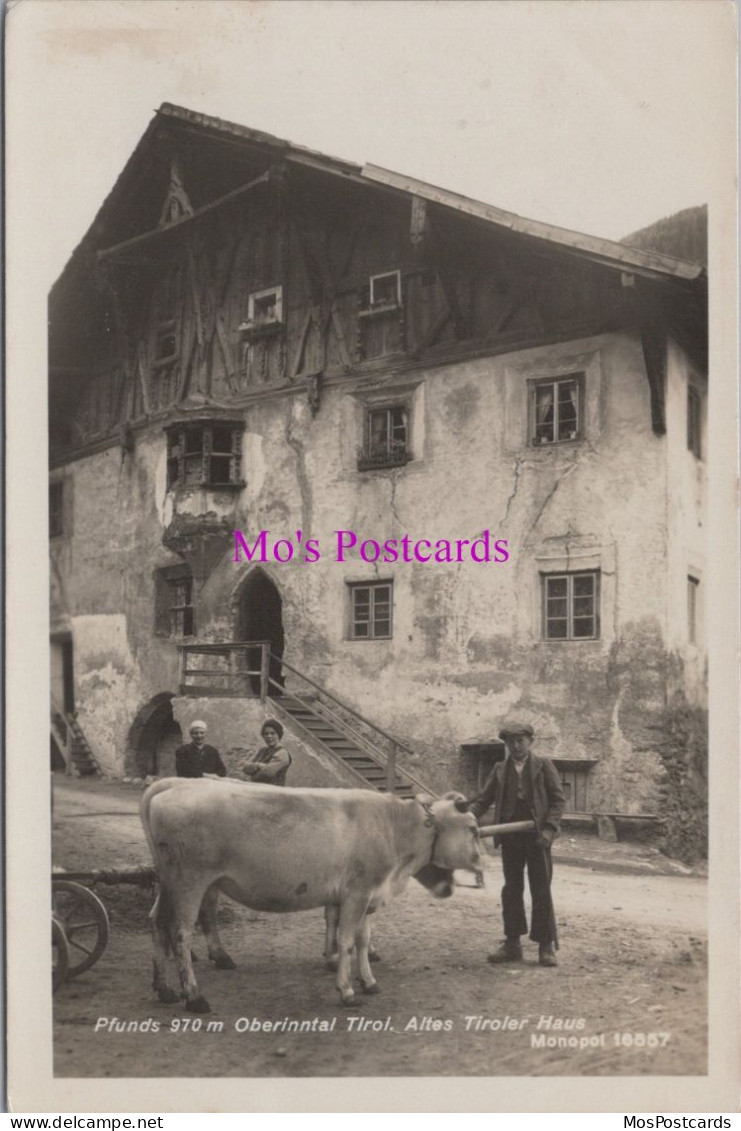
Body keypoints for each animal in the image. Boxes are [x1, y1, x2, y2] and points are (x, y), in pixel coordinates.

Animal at [141, 778, 484, 1017]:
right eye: (473, 828)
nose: (481, 862)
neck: (394, 826)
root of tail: (171, 786)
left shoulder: (368, 896)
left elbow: (363, 940)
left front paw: (369, 981)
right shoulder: (357, 893)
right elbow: (347, 940)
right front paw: (347, 990)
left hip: (168, 882)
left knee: (157, 921)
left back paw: (164, 987)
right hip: (190, 881)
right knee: (181, 932)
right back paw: (193, 996)